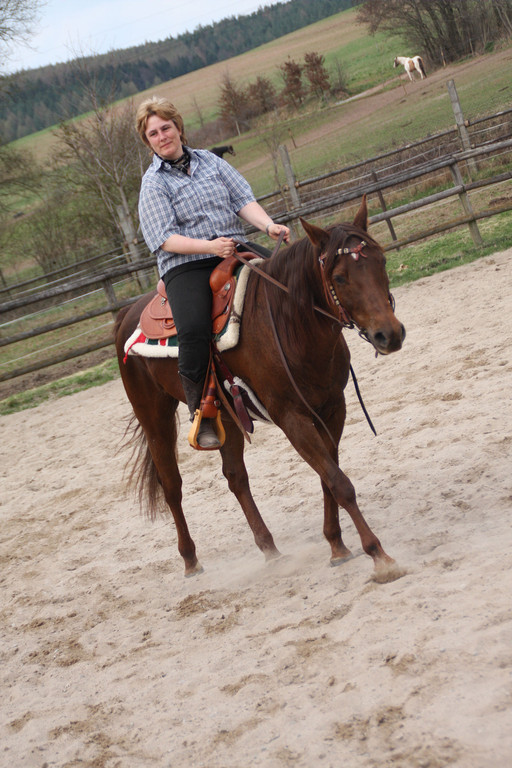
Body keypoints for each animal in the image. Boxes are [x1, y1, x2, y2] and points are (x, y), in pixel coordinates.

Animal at [115, 198, 404, 576]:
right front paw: (379, 556)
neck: (291, 322)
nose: (390, 335)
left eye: (381, 260)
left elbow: (328, 477)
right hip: (154, 417)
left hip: (224, 413)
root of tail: (127, 314)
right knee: (172, 486)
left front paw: (337, 546)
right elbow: (340, 482)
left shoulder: (331, 408)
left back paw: (269, 548)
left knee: (235, 476)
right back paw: (190, 560)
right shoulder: (291, 418)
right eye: (340, 277)